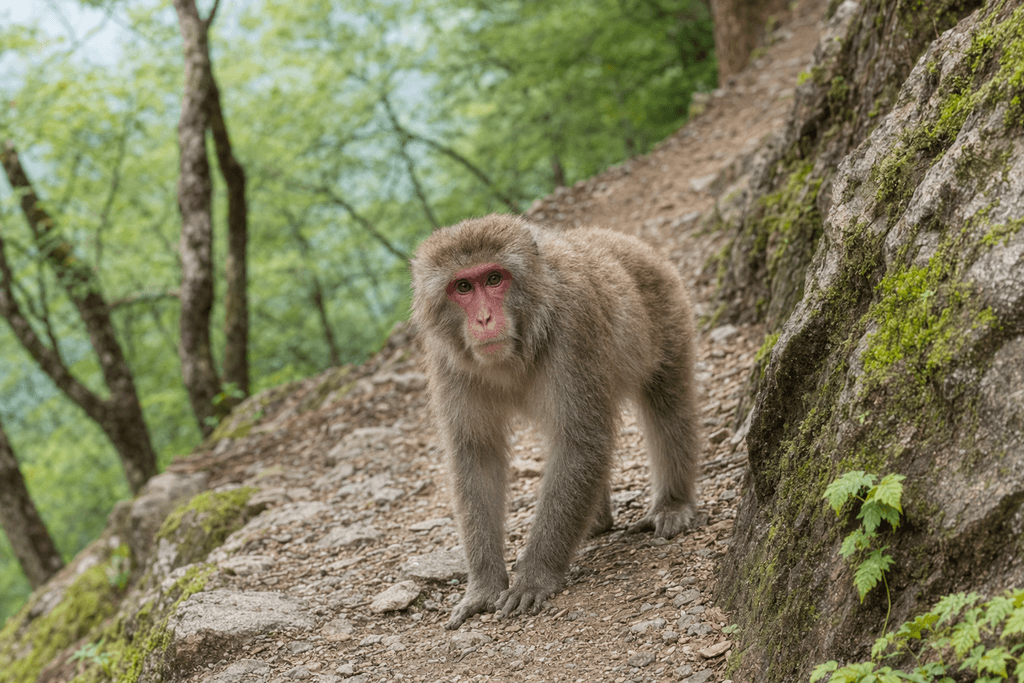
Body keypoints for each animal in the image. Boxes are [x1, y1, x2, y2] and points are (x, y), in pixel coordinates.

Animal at [410, 214, 700, 630]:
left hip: (669, 308)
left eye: (494, 279)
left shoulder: (574, 327)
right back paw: (597, 518)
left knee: (667, 405)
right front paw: (483, 585)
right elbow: (477, 457)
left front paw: (534, 577)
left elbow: (580, 441)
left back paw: (672, 503)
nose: (483, 318)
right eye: (463, 286)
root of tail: (620, 239)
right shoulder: (449, 360)